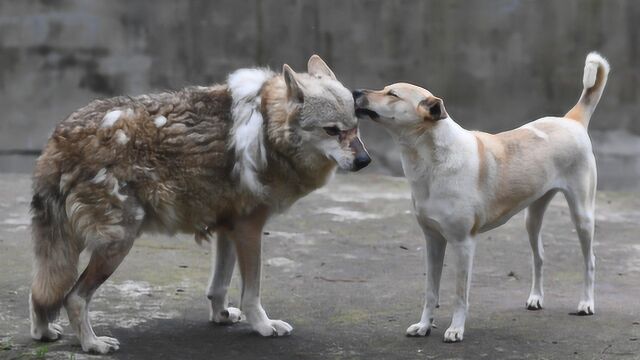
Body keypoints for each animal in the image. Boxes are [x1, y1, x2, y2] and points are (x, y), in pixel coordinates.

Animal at [30, 54, 370, 352]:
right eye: (332, 131)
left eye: (356, 126)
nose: (365, 161)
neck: (268, 129)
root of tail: (57, 141)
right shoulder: (250, 229)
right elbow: (252, 293)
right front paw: (264, 326)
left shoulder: (228, 227)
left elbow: (218, 287)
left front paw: (222, 316)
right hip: (117, 244)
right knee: (73, 298)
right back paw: (93, 345)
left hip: (66, 249)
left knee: (40, 294)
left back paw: (44, 333)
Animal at [356, 52, 608, 342]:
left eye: (392, 94)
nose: (355, 92)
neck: (432, 161)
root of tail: (571, 120)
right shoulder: (433, 240)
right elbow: (431, 291)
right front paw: (424, 325)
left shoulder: (463, 244)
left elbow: (459, 294)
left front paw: (455, 329)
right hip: (532, 219)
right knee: (539, 257)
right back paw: (536, 298)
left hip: (582, 216)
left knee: (589, 260)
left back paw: (586, 303)